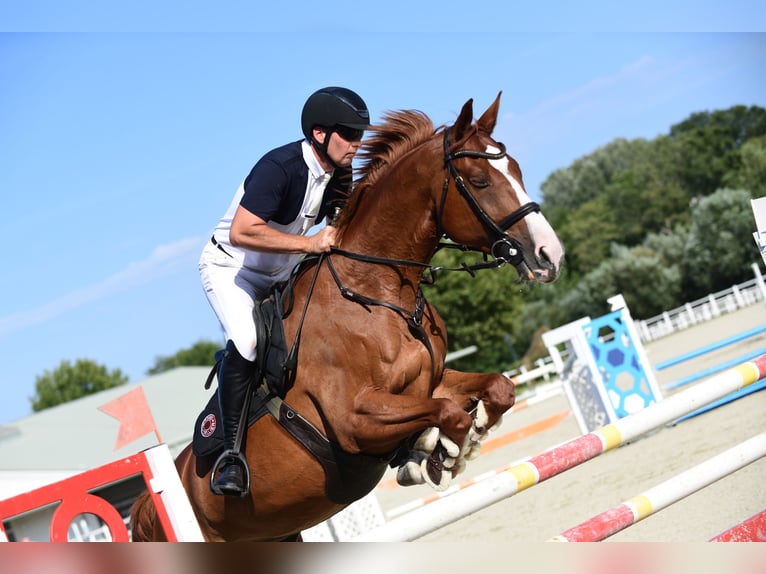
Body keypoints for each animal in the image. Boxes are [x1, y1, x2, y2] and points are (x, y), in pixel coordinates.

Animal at [130, 92, 564, 544]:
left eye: (517, 170)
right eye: (479, 181)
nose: (549, 255)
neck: (376, 290)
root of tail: (146, 510)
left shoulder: (432, 381)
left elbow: (497, 389)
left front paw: (460, 439)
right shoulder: (355, 421)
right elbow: (448, 414)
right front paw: (436, 453)